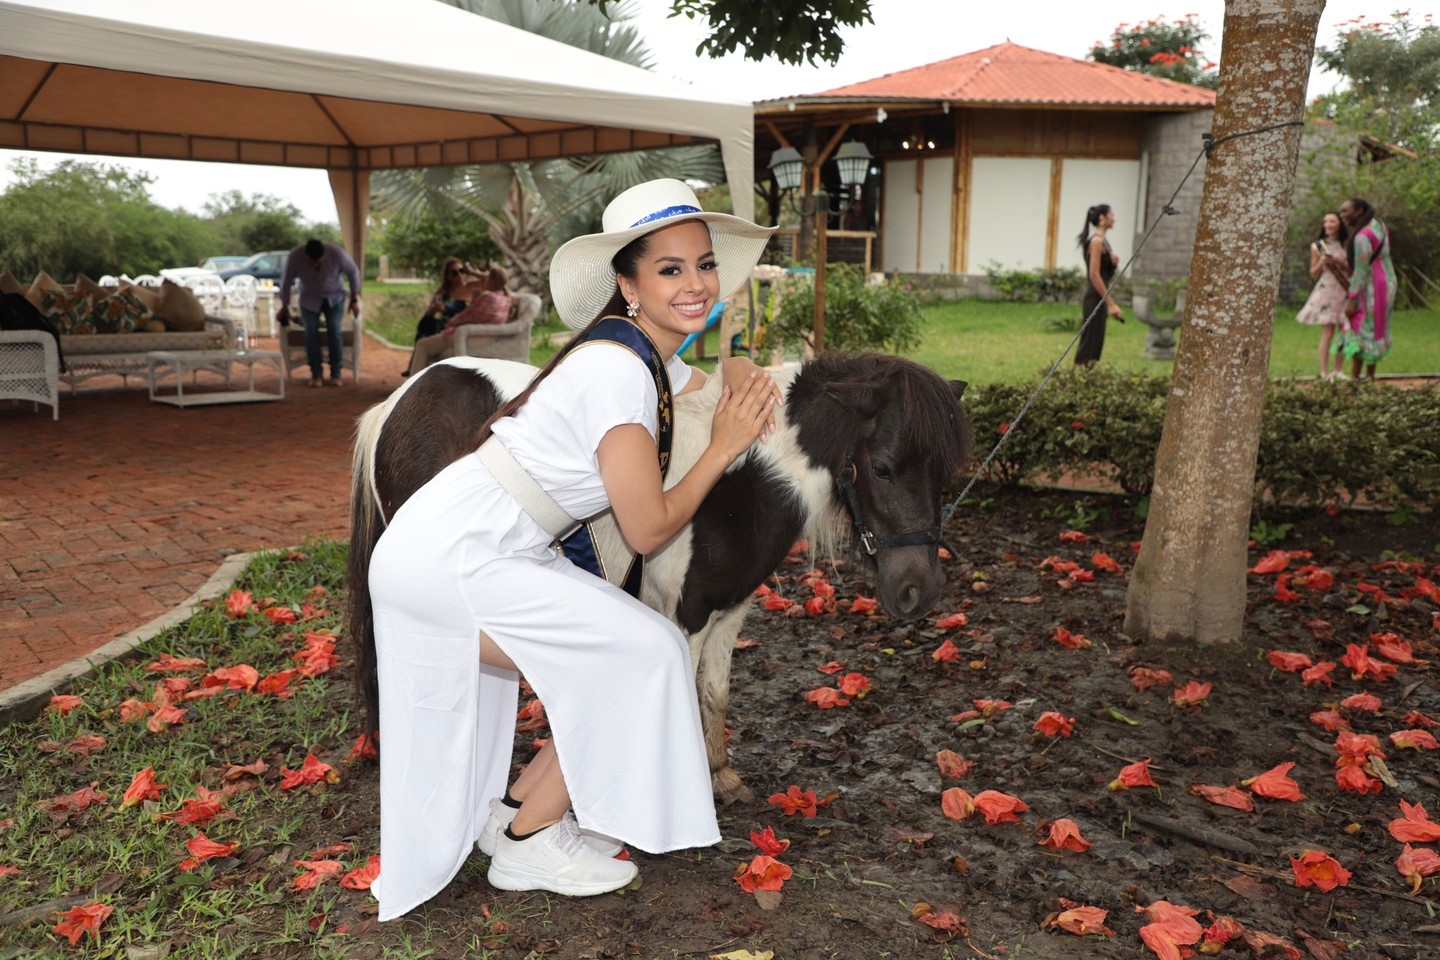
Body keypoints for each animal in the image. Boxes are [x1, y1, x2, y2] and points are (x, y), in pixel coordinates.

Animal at [349, 352, 973, 805]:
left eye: (943, 471)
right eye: (883, 468)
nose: (919, 591)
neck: (740, 479)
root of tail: (400, 400)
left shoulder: (730, 609)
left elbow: (714, 692)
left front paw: (721, 778)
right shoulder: (686, 613)